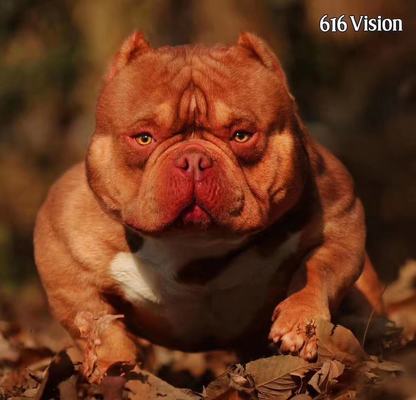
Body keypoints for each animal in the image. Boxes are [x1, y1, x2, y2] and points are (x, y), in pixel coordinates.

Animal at [34, 31, 386, 382]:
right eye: (144, 138)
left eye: (242, 135)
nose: (193, 160)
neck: (196, 246)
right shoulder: (64, 254)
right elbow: (95, 320)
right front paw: (113, 367)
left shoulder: (341, 224)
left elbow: (317, 270)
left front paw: (300, 321)